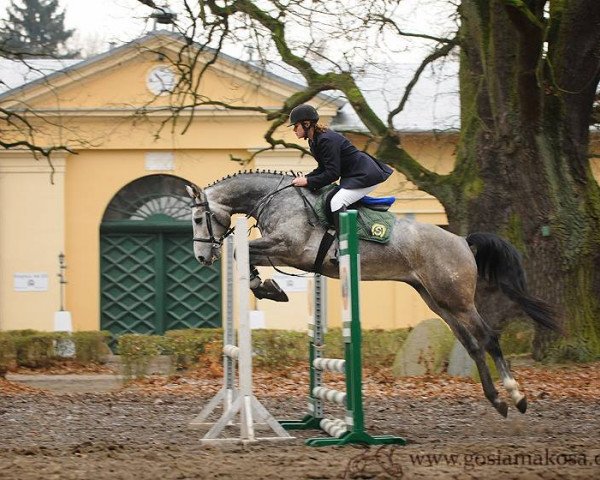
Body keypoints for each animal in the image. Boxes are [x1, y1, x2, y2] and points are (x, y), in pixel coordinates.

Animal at [186, 172, 556, 416]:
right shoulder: (282, 251)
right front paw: (267, 288)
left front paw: (268, 288)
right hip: (437, 301)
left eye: (197, 219)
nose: (202, 258)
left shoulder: (289, 249)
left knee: (489, 338)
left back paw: (517, 397)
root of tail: (464, 241)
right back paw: (497, 401)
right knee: (473, 345)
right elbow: (244, 256)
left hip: (457, 300)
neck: (277, 199)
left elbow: (242, 252)